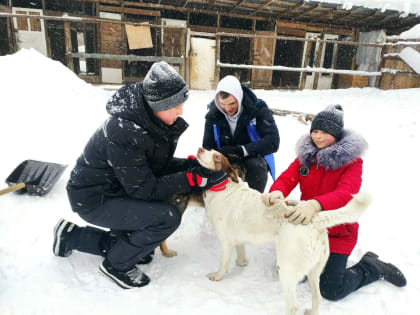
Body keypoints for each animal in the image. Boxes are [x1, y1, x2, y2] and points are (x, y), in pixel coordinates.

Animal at [195, 148, 370, 315]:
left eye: (216, 156)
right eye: (210, 149)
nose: (200, 149)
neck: (224, 186)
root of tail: (314, 218)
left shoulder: (226, 242)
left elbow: (223, 264)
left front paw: (218, 276)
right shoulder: (237, 238)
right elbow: (241, 251)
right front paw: (241, 263)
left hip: (286, 269)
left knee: (293, 306)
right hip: (314, 271)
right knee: (317, 297)